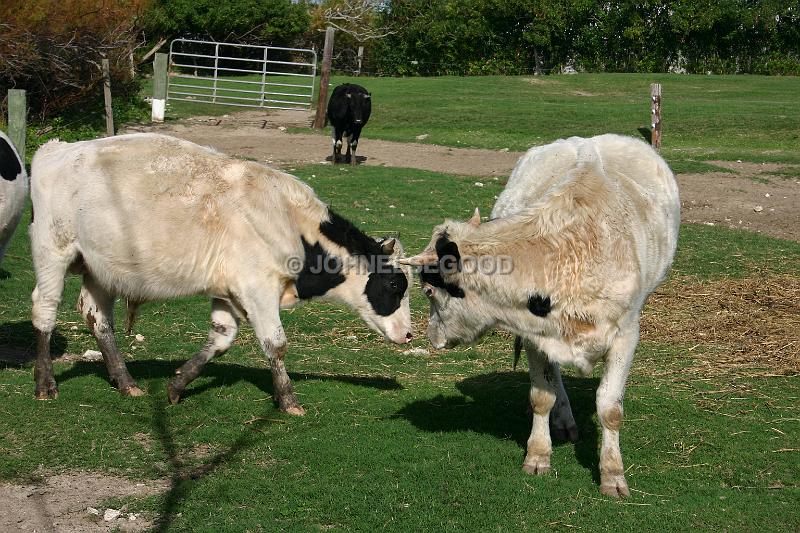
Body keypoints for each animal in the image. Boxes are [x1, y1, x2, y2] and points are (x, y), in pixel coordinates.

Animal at [28, 131, 412, 414]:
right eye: (395, 284)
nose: (409, 335)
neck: (289, 222)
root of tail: (56, 149)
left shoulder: (229, 292)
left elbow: (221, 340)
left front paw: (177, 384)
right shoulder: (257, 289)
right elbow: (276, 344)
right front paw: (288, 400)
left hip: (100, 268)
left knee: (97, 317)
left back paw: (126, 382)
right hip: (53, 252)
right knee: (45, 310)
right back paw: (45, 383)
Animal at [404, 133, 680, 494]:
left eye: (428, 291)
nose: (431, 336)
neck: (568, 253)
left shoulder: (626, 334)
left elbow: (610, 409)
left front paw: (613, 474)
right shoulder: (534, 332)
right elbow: (541, 396)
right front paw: (538, 454)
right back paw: (563, 420)